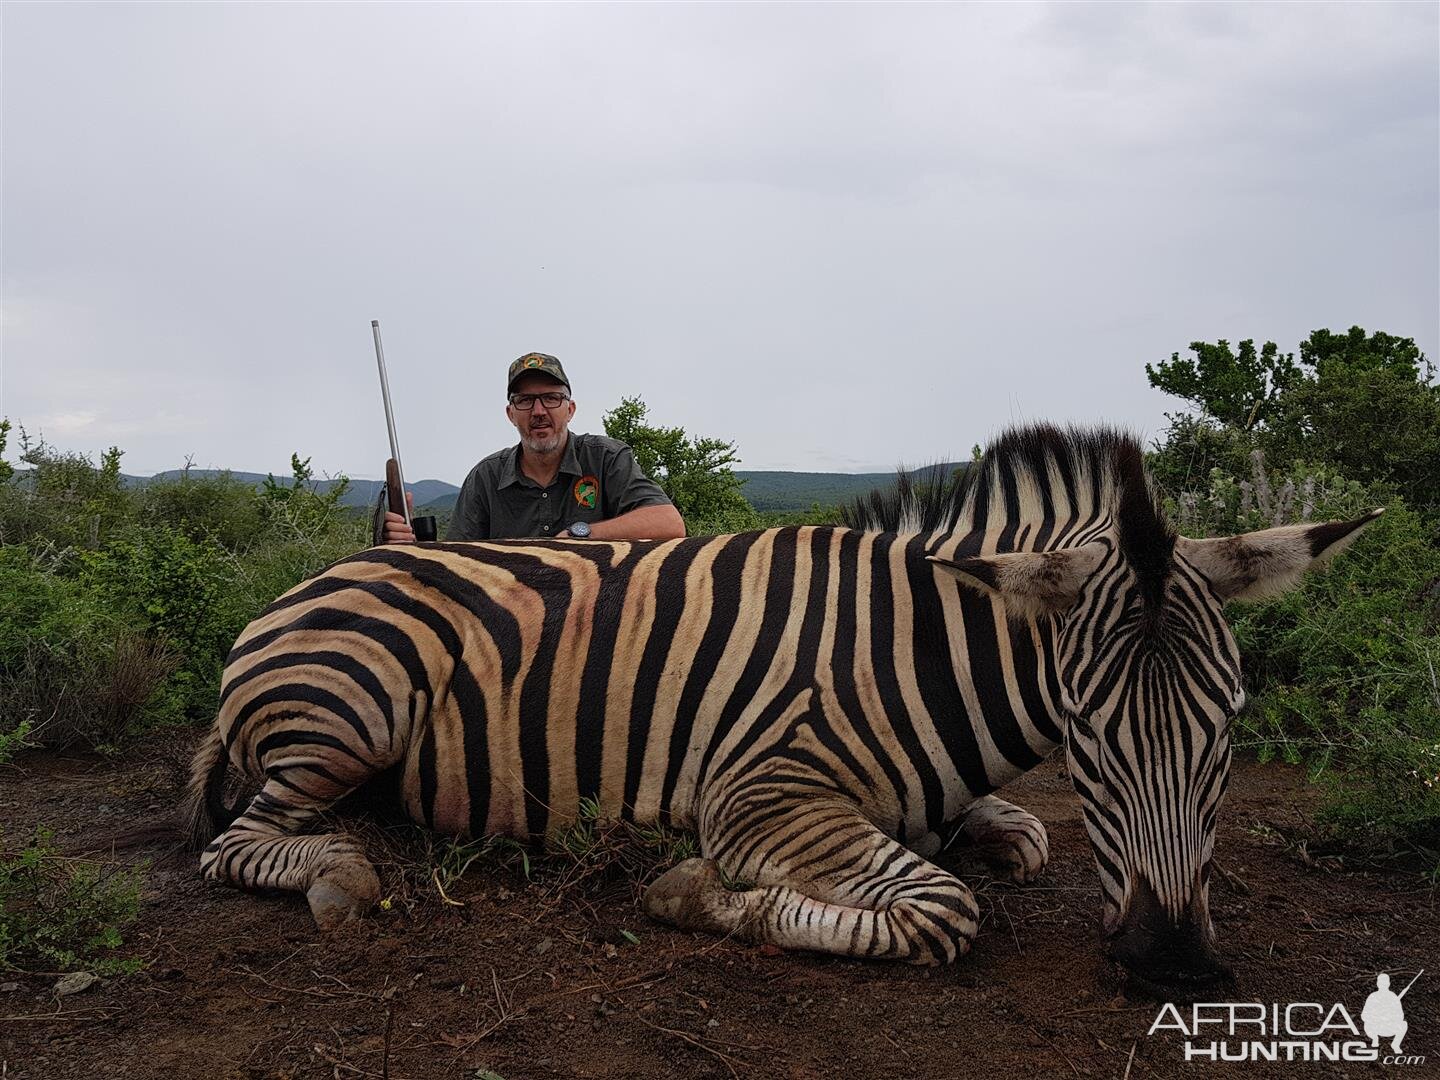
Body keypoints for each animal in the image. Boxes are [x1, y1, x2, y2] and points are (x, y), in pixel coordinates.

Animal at [185, 426, 1376, 984]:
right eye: (1086, 732)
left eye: (1229, 724)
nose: (1171, 962)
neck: (920, 650)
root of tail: (311, 582)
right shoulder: (762, 794)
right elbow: (941, 909)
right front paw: (691, 889)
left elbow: (1027, 836)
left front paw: (990, 830)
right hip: (354, 712)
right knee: (238, 844)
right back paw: (342, 871)